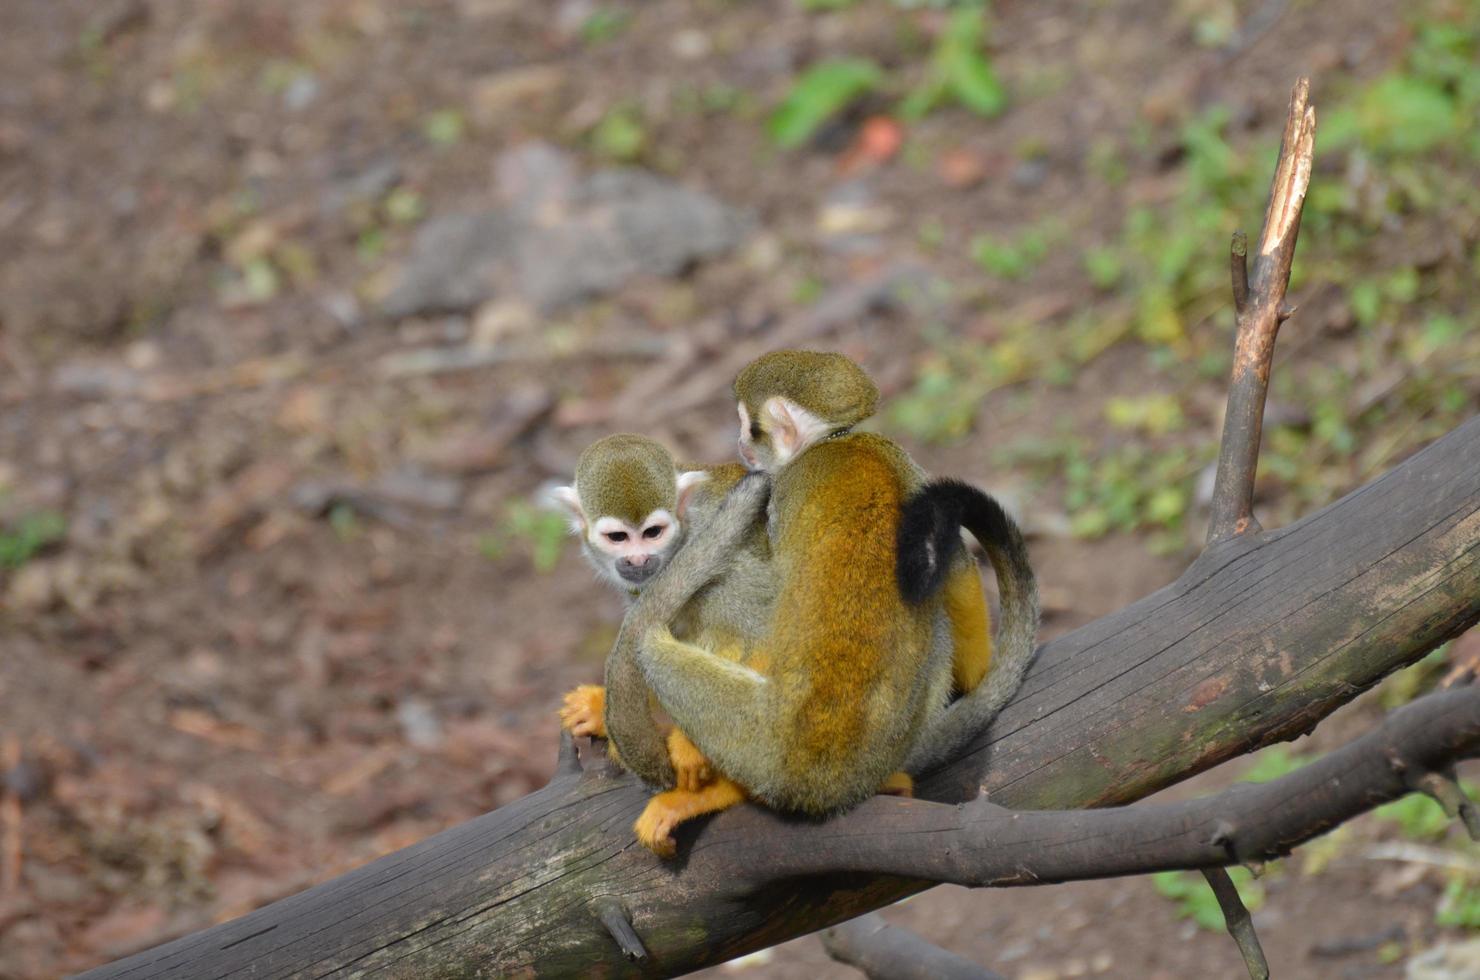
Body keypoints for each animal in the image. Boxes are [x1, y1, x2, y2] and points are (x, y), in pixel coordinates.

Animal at [612, 349, 1041, 823]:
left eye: (747, 425)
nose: (740, 445)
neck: (831, 442)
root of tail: (827, 781)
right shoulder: (898, 456)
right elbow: (957, 572)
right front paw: (980, 673)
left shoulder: (785, 491)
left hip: (752, 740)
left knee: (649, 650)